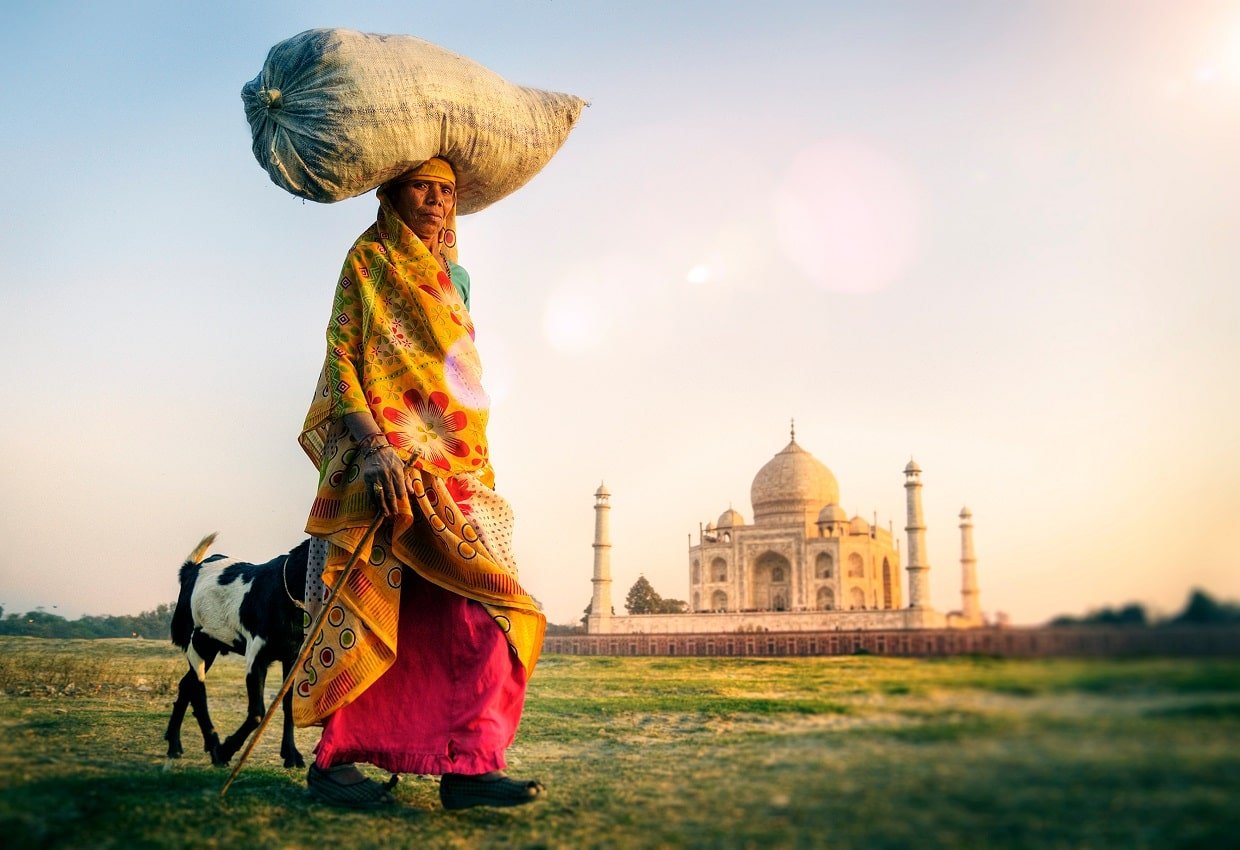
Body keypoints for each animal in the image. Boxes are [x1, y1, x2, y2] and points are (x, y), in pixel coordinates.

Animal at [163, 533, 308, 764]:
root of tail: (190, 570)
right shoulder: (256, 659)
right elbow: (257, 712)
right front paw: (227, 749)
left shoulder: (293, 658)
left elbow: (288, 705)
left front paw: (291, 754)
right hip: (197, 644)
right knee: (197, 689)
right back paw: (213, 745)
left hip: (211, 647)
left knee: (186, 684)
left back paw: (175, 744)